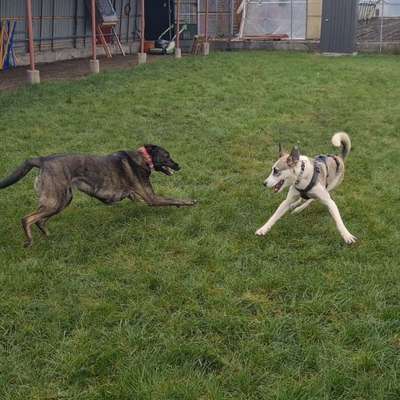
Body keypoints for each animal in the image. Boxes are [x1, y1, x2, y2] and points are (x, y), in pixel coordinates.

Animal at [0, 145, 197, 247]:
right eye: (167, 156)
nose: (179, 166)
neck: (144, 158)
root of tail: (42, 159)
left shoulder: (139, 197)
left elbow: (170, 199)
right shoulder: (151, 198)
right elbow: (173, 198)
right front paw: (190, 202)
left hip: (62, 200)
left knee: (40, 220)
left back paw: (49, 237)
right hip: (55, 201)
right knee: (27, 219)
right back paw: (29, 240)